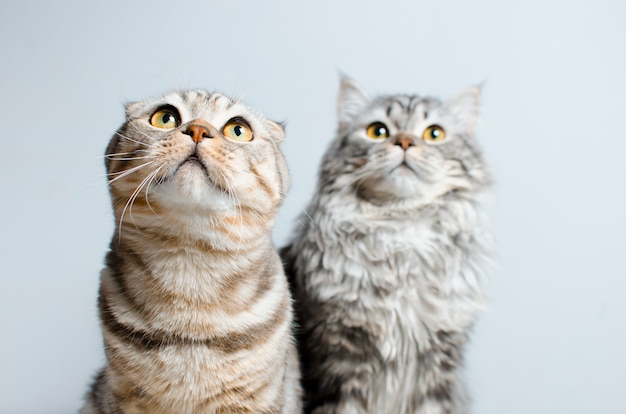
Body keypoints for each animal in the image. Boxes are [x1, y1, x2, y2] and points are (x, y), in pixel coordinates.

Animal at [282, 78, 492, 414]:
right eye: (377, 131)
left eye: (435, 133)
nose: (405, 142)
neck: (401, 232)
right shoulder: (337, 362)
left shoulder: (438, 366)